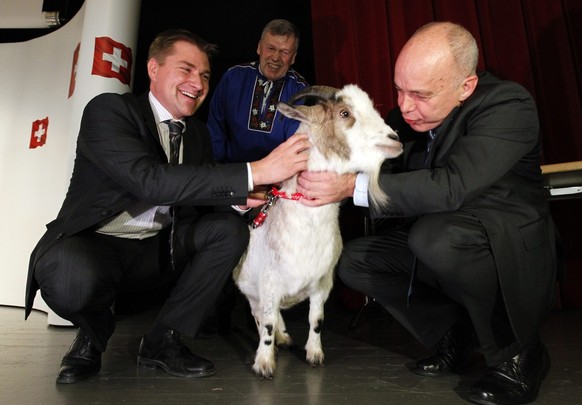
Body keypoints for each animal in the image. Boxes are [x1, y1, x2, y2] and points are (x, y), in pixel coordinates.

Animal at [235, 84, 404, 378]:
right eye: (345, 113)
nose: (394, 139)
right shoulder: (268, 282)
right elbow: (265, 322)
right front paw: (265, 363)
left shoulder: (323, 281)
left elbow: (316, 319)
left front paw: (315, 355)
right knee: (261, 314)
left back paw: (284, 337)